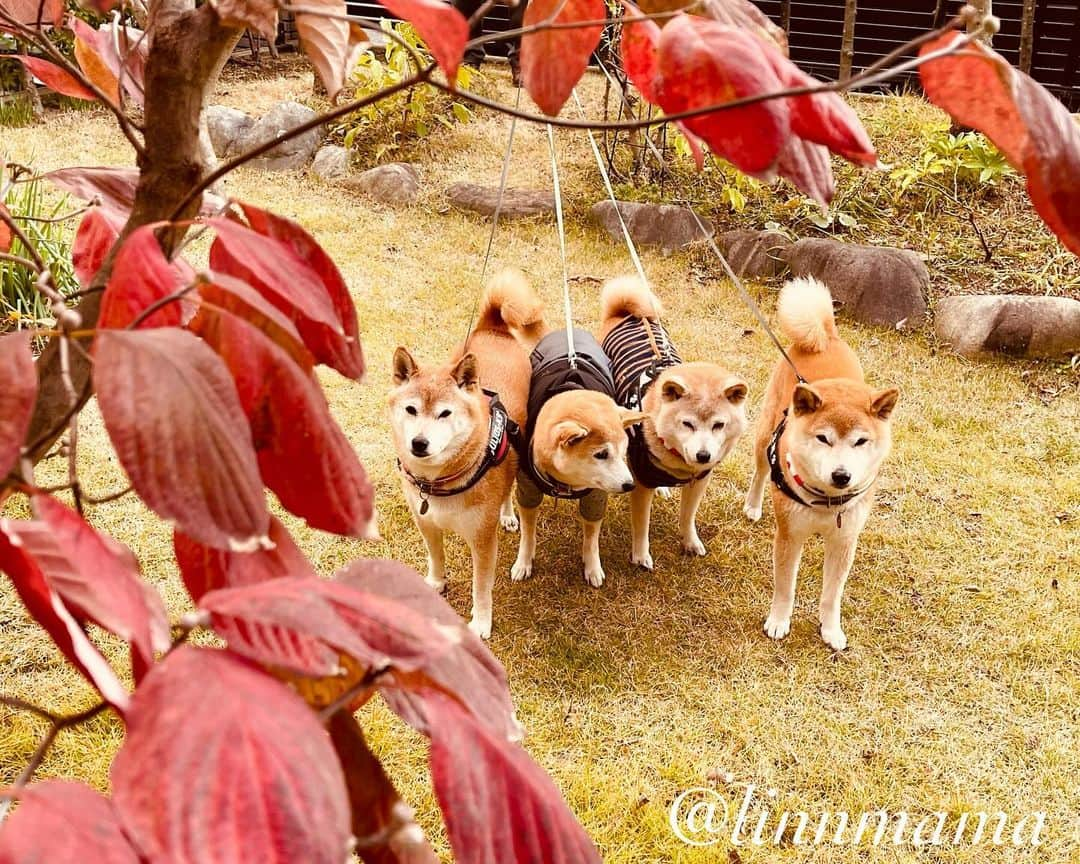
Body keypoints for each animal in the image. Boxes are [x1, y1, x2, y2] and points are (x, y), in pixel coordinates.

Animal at [390, 270, 548, 639]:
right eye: (411, 409)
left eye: (445, 414)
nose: (419, 443)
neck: (438, 484)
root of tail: (494, 328)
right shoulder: (425, 521)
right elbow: (435, 557)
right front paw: (435, 583)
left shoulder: (482, 540)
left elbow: (481, 587)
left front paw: (480, 623)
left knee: (512, 495)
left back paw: (511, 520)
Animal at [511, 328, 643, 591]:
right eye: (601, 454)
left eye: (624, 451)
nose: (630, 485)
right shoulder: (528, 490)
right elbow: (528, 534)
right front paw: (524, 563)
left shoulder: (596, 496)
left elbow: (591, 539)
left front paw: (592, 568)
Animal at [600, 276, 751, 565]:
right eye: (687, 424)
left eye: (718, 425)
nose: (704, 455)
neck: (681, 465)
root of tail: (629, 314)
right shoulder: (642, 483)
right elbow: (642, 524)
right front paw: (640, 556)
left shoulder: (699, 480)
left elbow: (687, 517)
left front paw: (690, 542)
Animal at [743, 276, 902, 648]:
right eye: (823, 438)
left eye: (860, 441)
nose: (842, 475)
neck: (827, 503)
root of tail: (825, 337)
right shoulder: (790, 535)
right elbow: (785, 587)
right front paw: (778, 622)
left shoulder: (844, 541)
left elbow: (832, 594)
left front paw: (831, 630)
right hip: (765, 433)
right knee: (760, 470)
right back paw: (753, 506)